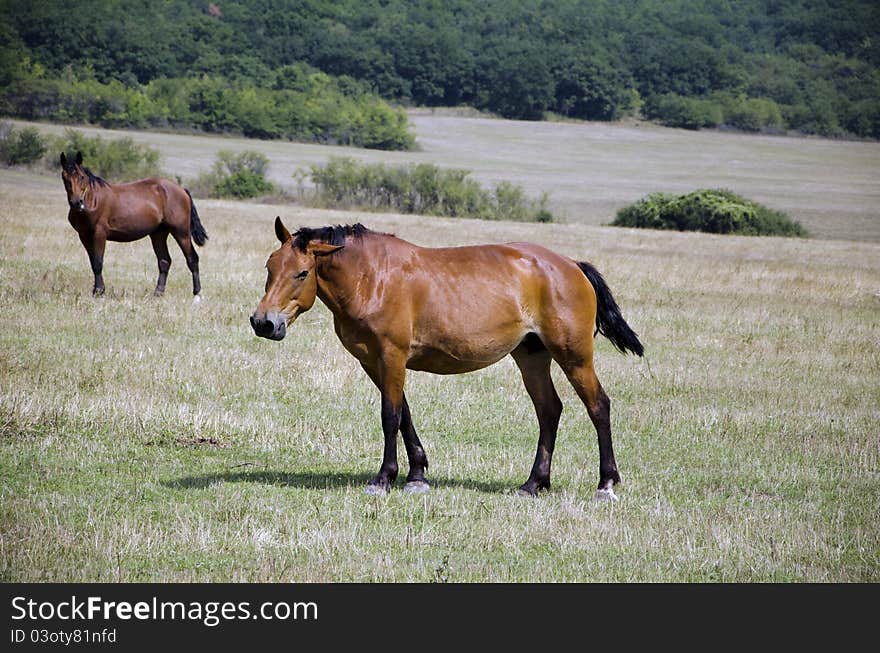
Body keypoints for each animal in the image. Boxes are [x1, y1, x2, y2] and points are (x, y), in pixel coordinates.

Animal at [60, 152, 208, 296]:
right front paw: (98, 290)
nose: (77, 203)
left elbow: (98, 262)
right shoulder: (84, 236)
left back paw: (197, 294)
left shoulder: (99, 234)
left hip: (181, 232)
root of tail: (182, 190)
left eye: (82, 177)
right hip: (158, 234)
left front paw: (99, 291)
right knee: (164, 261)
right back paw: (158, 293)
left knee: (192, 259)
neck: (93, 201)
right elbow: (92, 262)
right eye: (64, 178)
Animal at [251, 219, 644, 500]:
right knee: (549, 411)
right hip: (532, 357)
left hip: (573, 355)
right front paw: (417, 475)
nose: (263, 322)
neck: (372, 278)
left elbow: (390, 416)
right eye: (270, 267)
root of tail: (571, 266)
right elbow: (404, 415)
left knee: (598, 406)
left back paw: (606, 484)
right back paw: (534, 483)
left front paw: (384, 478)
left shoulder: (391, 356)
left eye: (302, 272)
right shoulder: (373, 361)